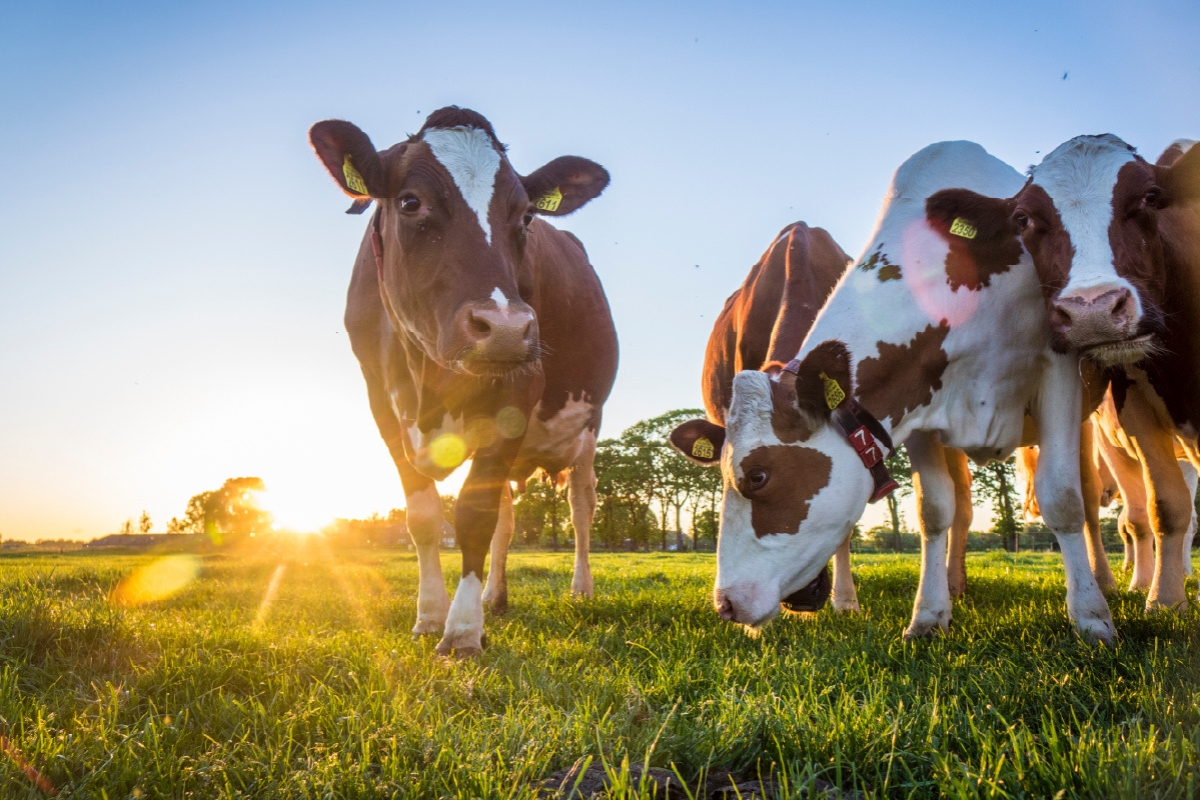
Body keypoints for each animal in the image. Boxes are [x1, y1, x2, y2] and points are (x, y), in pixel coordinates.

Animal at [308, 107, 618, 656]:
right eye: (410, 201)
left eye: (527, 216)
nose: (507, 328)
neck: (428, 378)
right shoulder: (382, 406)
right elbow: (425, 518)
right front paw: (430, 616)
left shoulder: (518, 393)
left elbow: (474, 515)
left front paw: (462, 631)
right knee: (509, 518)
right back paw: (496, 596)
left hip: (587, 427)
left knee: (581, 507)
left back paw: (580, 590)